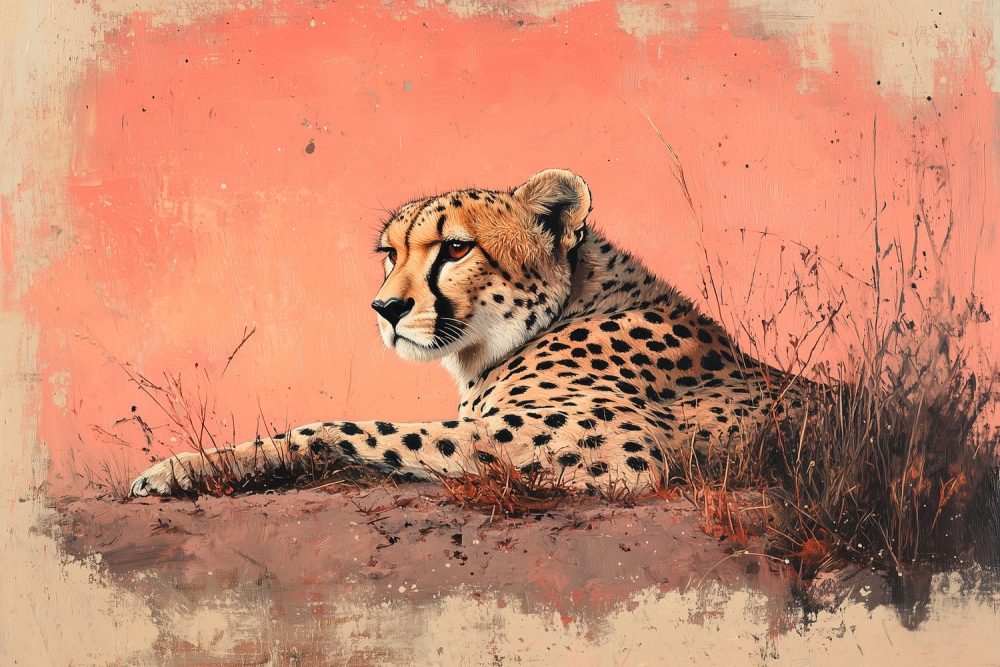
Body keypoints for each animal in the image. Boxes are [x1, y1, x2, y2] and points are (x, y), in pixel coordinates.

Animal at [130, 168, 805, 498]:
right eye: (389, 253)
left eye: (456, 248)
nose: (386, 307)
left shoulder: (619, 451)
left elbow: (353, 429)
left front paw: (185, 469)